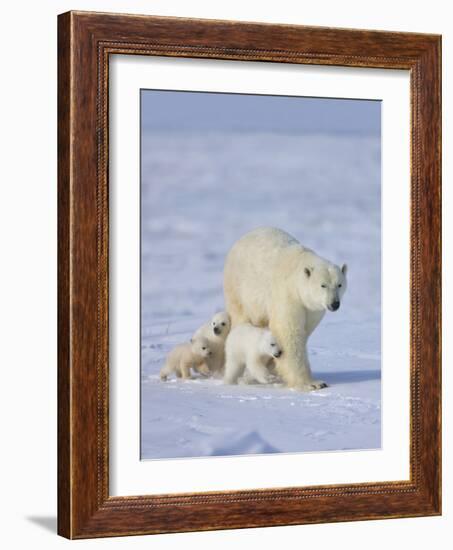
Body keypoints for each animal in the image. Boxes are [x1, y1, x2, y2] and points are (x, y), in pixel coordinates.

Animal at [222, 229, 346, 392]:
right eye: (323, 285)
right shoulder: (287, 295)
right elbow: (289, 332)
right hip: (240, 289)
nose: (334, 304)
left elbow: (304, 331)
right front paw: (312, 383)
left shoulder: (312, 309)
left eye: (339, 284)